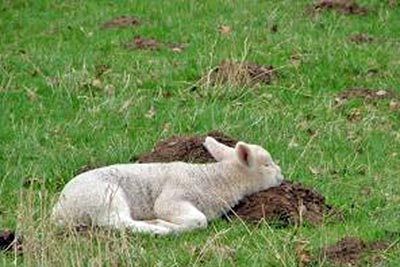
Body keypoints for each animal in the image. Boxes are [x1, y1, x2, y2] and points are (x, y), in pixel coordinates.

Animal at [51, 137, 284, 236]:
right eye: (266, 164)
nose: (281, 175)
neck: (217, 179)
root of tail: (60, 210)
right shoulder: (173, 197)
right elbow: (199, 221)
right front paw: (169, 224)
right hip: (103, 197)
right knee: (118, 222)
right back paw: (157, 228)